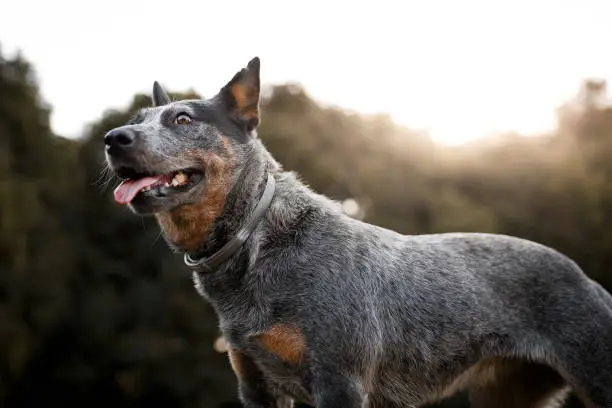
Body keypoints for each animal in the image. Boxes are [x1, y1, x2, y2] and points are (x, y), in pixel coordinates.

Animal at [104, 58, 612, 408]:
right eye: (137, 119)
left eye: (183, 119)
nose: (113, 138)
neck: (256, 241)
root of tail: (588, 280)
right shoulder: (255, 383)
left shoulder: (339, 380)